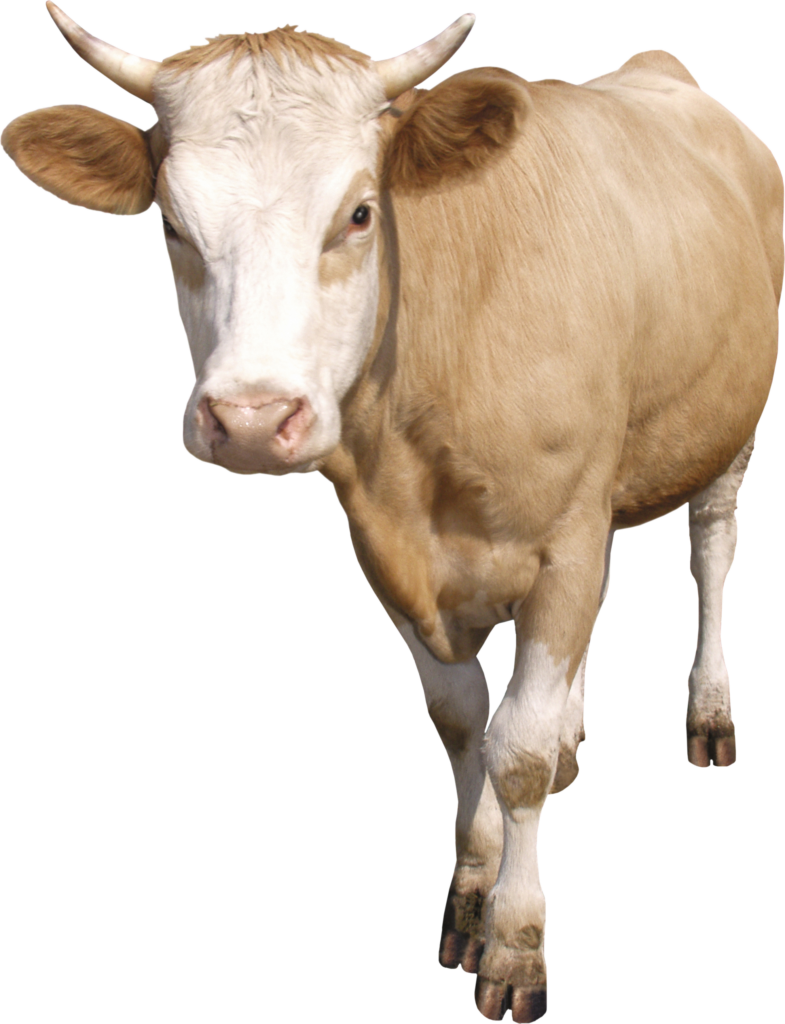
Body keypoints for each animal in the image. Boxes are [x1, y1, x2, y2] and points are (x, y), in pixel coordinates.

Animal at [3, 5, 782, 1021]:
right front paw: (470, 897)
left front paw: (515, 948)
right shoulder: (388, 554)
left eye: (360, 213)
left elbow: (516, 751)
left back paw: (707, 714)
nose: (250, 418)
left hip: (734, 425)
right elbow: (462, 722)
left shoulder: (562, 543)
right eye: (171, 224)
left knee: (711, 550)